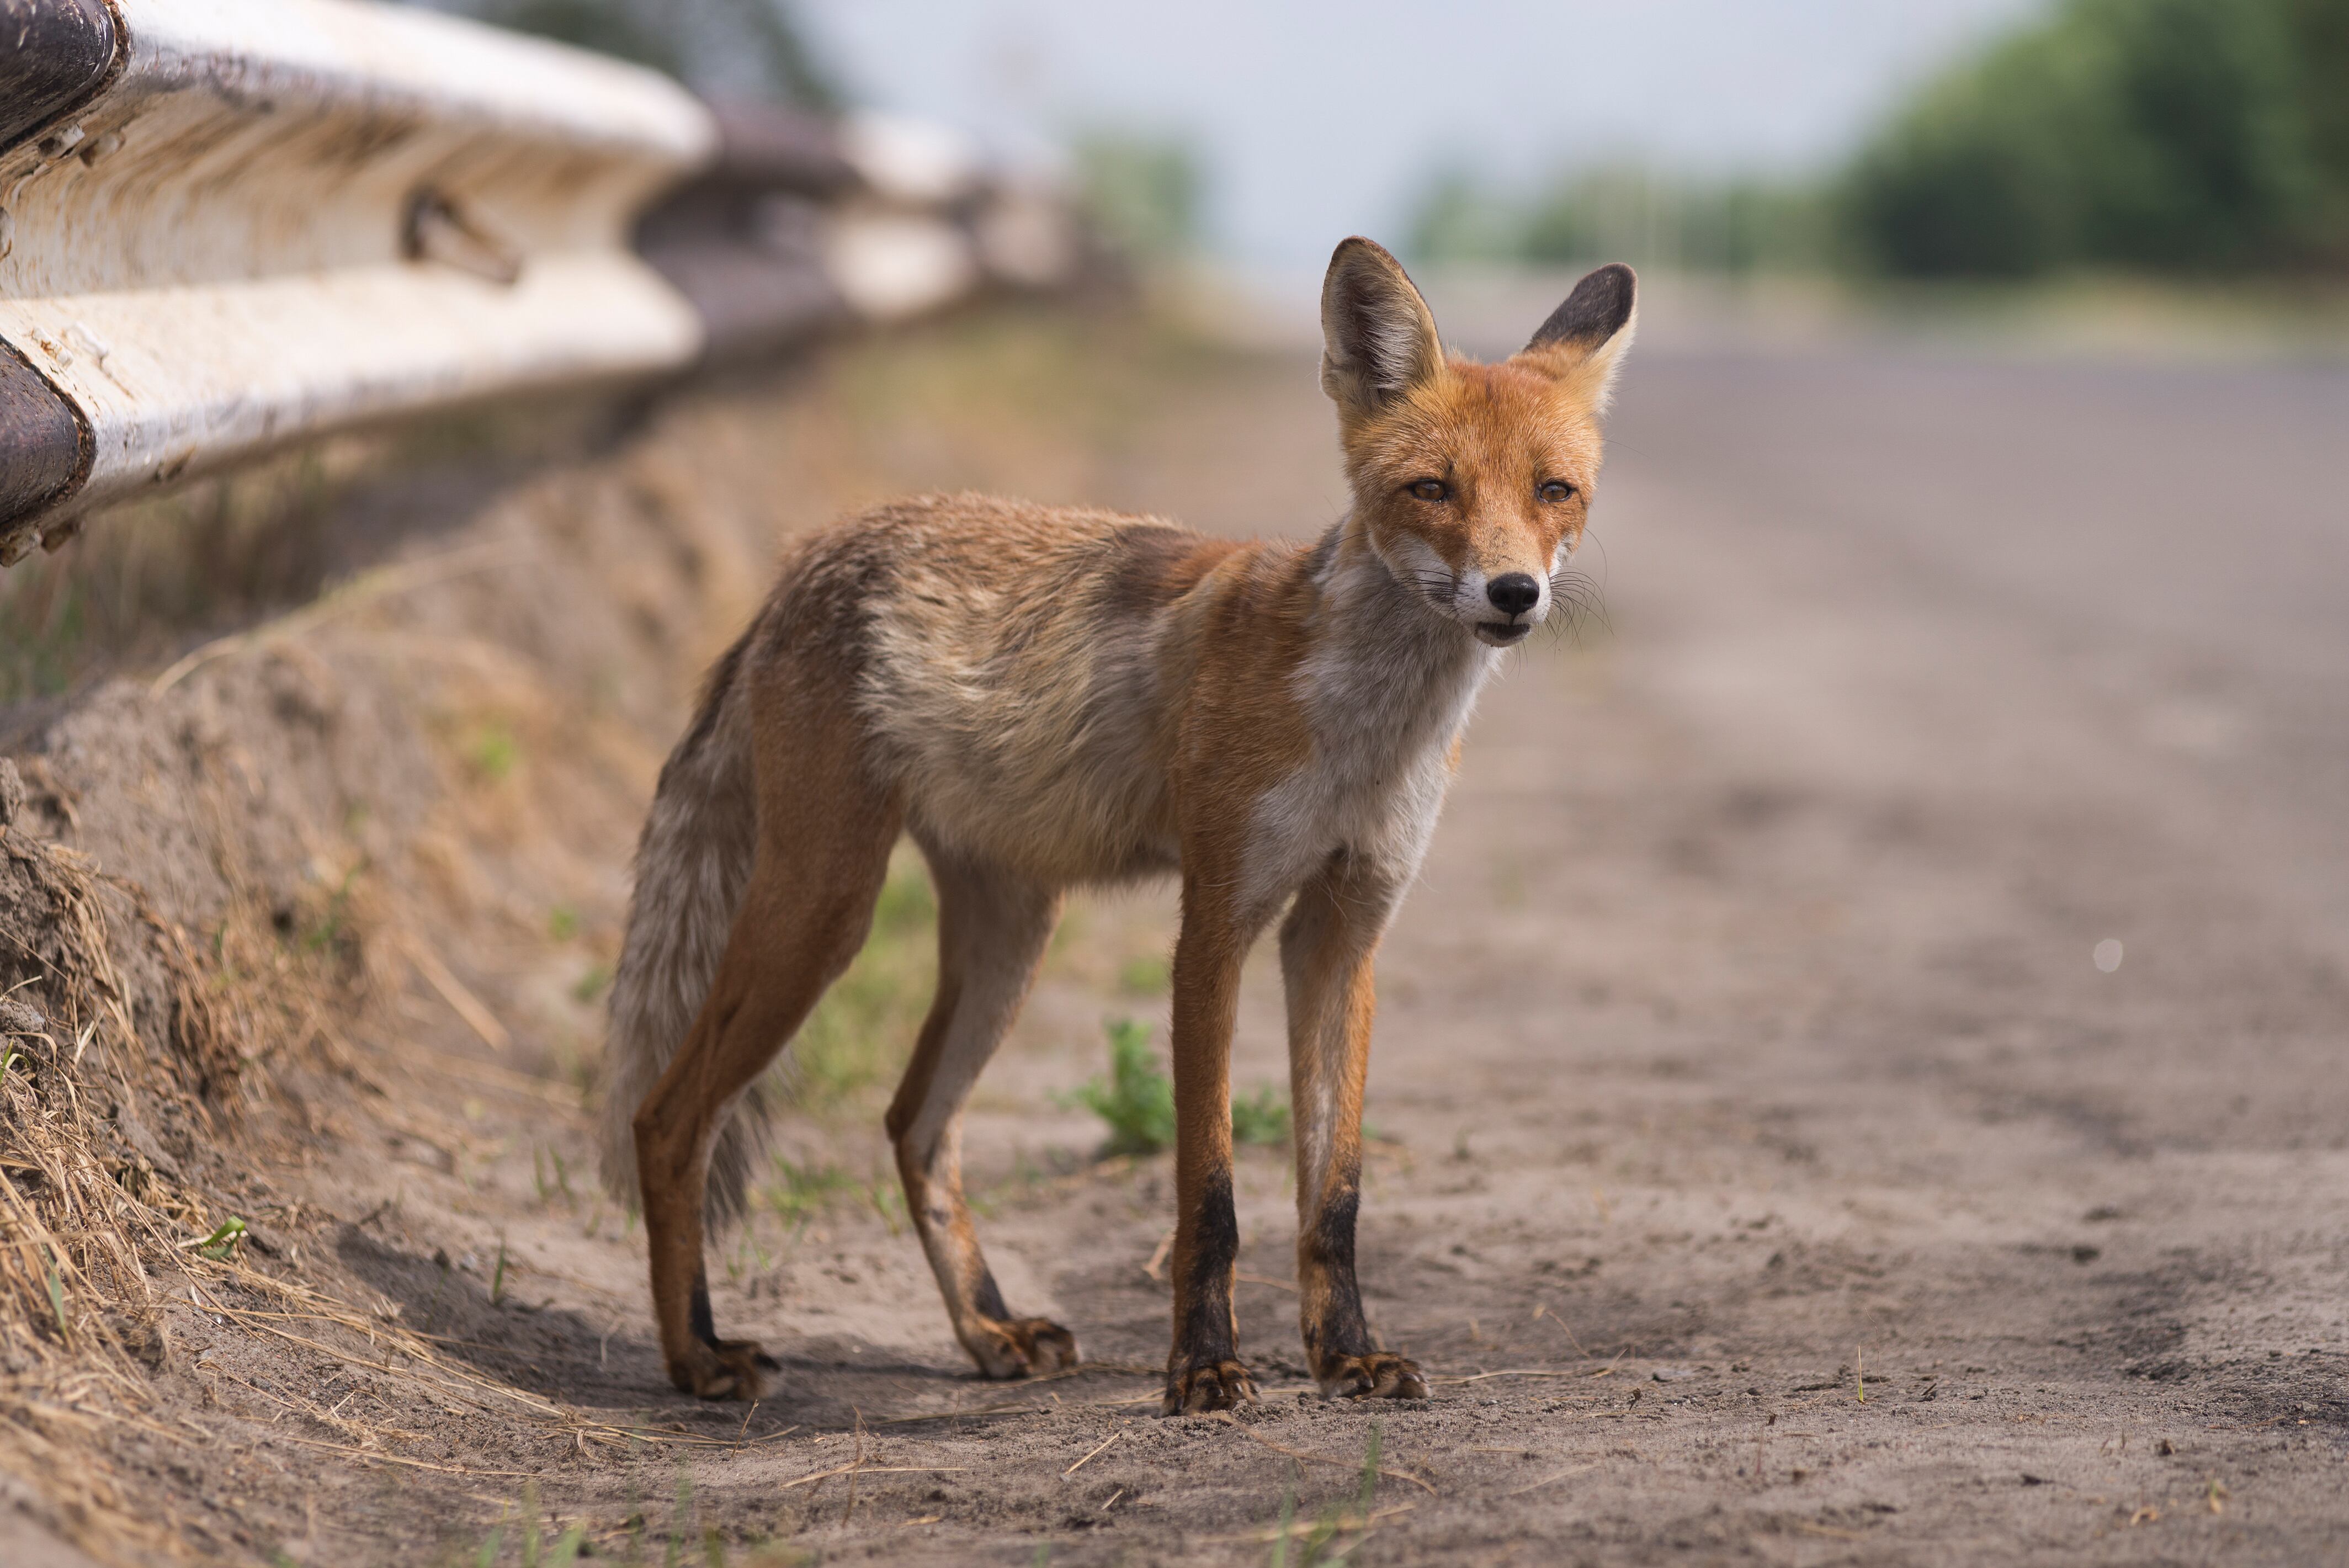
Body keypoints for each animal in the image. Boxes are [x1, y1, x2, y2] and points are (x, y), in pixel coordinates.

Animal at [600, 238, 1636, 1414]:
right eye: (1432, 490)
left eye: (1554, 491)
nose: (1512, 594)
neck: (1363, 731)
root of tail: (806, 554)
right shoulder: (1217, 924)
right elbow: (1209, 1194)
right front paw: (1204, 1368)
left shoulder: (1345, 930)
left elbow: (1334, 1197)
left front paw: (1347, 1357)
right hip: (820, 914)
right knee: (668, 1117)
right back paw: (695, 1354)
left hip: (1009, 939)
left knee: (914, 1123)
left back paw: (987, 1330)